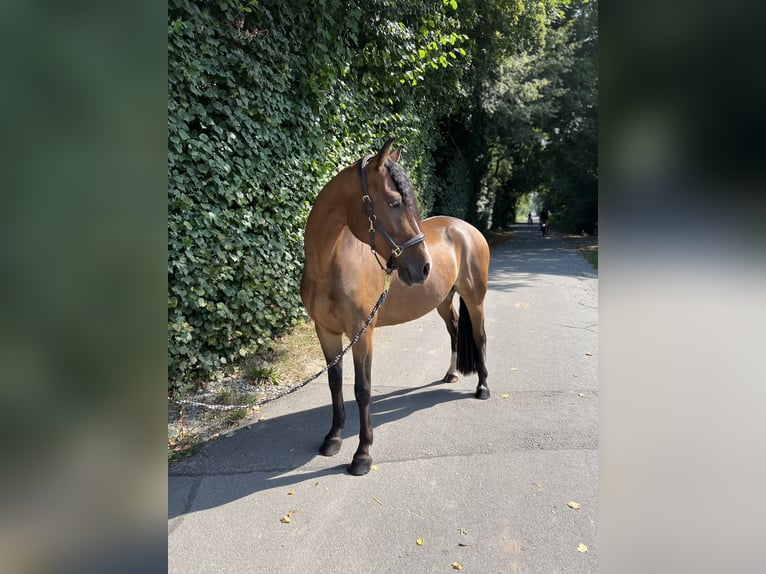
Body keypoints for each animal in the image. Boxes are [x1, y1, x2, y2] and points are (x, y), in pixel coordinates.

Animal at [302, 138, 492, 476]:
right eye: (393, 203)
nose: (424, 266)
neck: (330, 266)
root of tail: (467, 228)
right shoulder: (325, 331)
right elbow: (335, 382)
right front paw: (333, 438)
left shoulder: (362, 334)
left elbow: (362, 389)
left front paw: (362, 455)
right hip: (443, 301)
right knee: (455, 331)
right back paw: (451, 374)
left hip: (475, 297)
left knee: (479, 337)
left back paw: (482, 387)